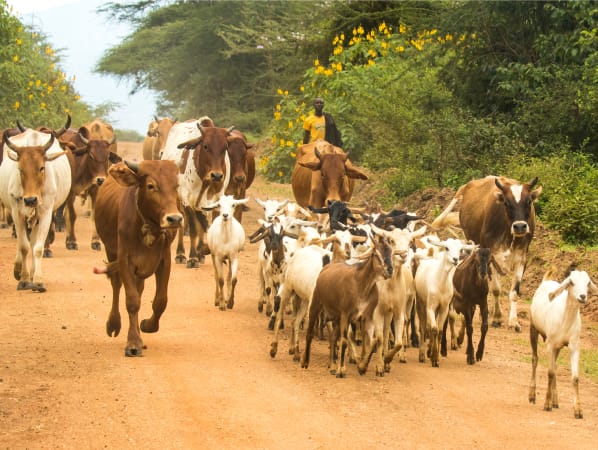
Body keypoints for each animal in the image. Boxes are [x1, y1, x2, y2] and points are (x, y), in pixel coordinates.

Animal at [56, 118, 120, 251]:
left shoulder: (95, 191)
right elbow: (72, 215)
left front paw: (95, 241)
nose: (101, 179)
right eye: (91, 155)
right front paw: (72, 241)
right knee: (66, 214)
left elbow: (94, 215)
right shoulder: (71, 192)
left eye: (107, 156)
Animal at [92, 160, 183, 356]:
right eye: (151, 186)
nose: (174, 219)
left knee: (139, 289)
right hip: (111, 251)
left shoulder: (164, 260)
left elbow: (160, 301)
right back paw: (114, 324)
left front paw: (147, 326)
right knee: (116, 285)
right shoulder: (125, 260)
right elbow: (132, 301)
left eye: (176, 186)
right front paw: (133, 343)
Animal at [432, 175, 544, 330]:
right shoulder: (491, 255)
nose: (520, 226)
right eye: (506, 203)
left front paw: (514, 321)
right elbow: (496, 289)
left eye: (528, 201)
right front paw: (497, 317)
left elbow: (514, 292)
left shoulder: (522, 257)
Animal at [532, 268, 596, 418]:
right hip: (534, 329)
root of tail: (546, 280)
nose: (583, 296)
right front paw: (546, 404)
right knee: (535, 359)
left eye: (588, 282)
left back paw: (555, 401)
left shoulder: (574, 346)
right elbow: (550, 373)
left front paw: (578, 410)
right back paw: (532, 396)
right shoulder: (550, 345)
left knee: (555, 365)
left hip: (558, 347)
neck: (565, 319)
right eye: (571, 282)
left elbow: (575, 377)